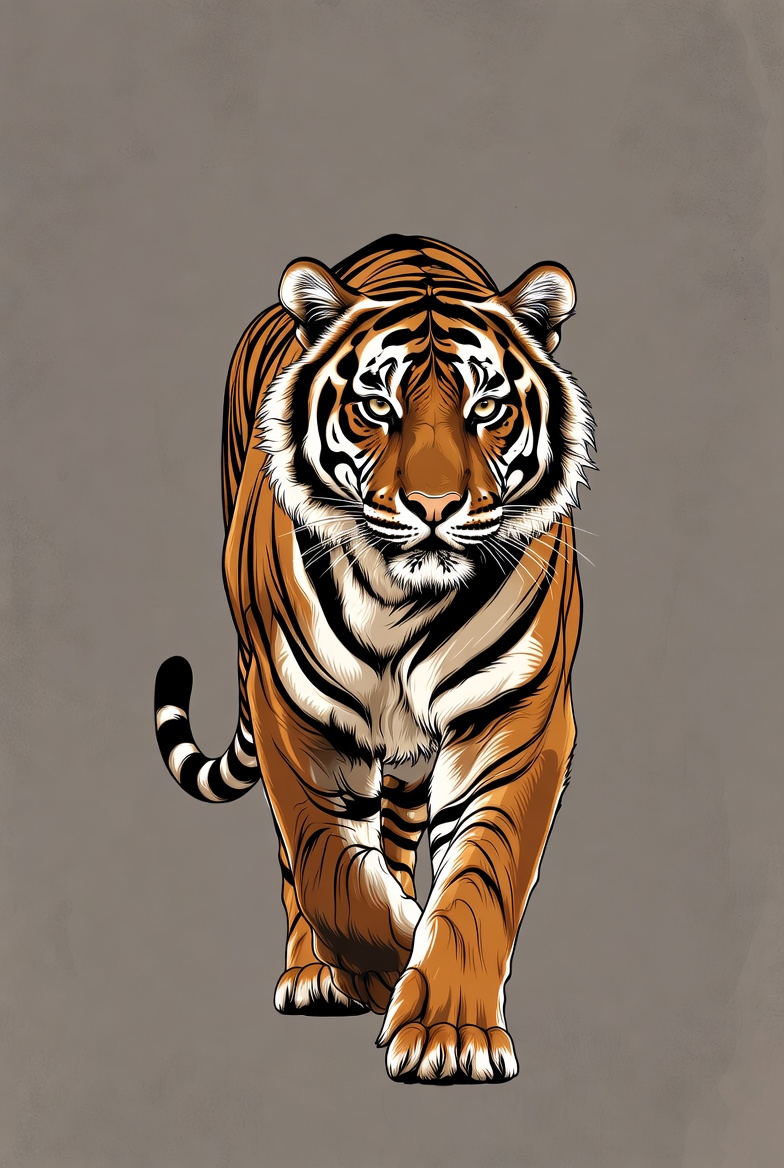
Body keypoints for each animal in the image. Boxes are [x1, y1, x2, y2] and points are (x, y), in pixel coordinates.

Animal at [154, 234, 595, 1084]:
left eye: (486, 409)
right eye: (376, 408)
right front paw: (384, 968)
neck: (402, 602)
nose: (434, 509)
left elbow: (481, 878)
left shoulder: (517, 718)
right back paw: (314, 972)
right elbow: (330, 873)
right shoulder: (294, 712)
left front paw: (449, 1029)